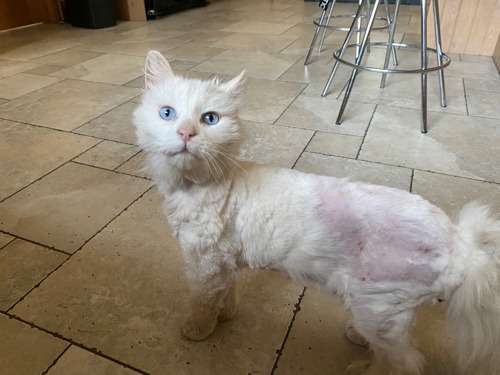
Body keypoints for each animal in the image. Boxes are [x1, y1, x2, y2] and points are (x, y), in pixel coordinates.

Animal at [134, 50, 500, 375]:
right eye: (167, 113)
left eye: (209, 119)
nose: (185, 133)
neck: (203, 184)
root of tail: (461, 243)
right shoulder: (222, 261)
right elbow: (227, 292)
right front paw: (227, 315)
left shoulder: (204, 263)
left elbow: (203, 302)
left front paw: (198, 329)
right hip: (384, 311)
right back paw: (357, 337)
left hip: (377, 308)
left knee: (403, 363)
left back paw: (364, 368)